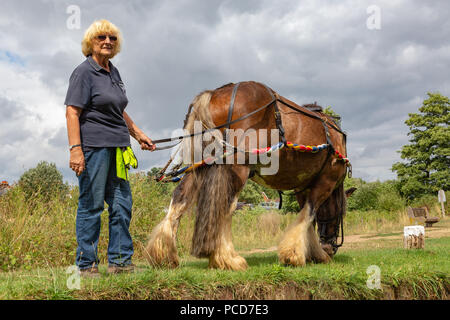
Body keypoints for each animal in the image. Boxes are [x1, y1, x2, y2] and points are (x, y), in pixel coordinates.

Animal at [146, 80, 350, 270]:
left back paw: (163, 254)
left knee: (180, 197)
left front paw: (310, 252)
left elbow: (307, 219)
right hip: (237, 166)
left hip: (199, 167)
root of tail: (214, 95)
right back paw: (228, 258)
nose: (331, 247)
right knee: (227, 205)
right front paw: (300, 254)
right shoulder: (326, 181)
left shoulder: (302, 186)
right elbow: (309, 214)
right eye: (342, 212)